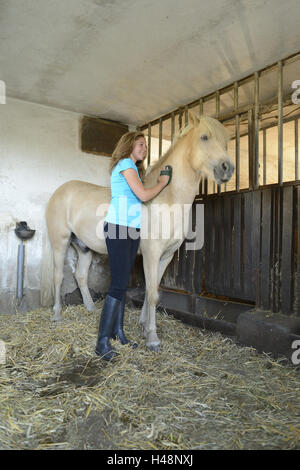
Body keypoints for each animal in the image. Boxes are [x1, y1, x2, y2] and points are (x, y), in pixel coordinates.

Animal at [45, 113, 233, 348]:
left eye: (226, 141)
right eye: (205, 137)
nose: (227, 168)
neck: (166, 199)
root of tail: (60, 191)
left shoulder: (165, 256)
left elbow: (152, 291)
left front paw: (144, 325)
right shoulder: (151, 254)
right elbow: (152, 294)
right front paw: (152, 337)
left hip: (84, 248)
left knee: (80, 276)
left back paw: (91, 308)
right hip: (59, 243)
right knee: (58, 276)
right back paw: (57, 315)